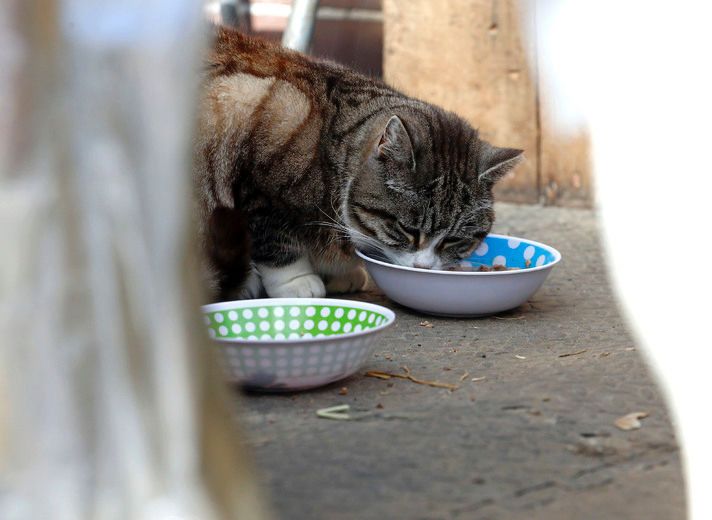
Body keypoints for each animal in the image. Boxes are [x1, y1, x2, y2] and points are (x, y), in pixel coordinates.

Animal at [195, 27, 524, 300]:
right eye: (407, 230)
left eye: (454, 240)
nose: (424, 267)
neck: (327, 149)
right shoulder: (257, 168)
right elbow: (273, 239)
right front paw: (297, 282)